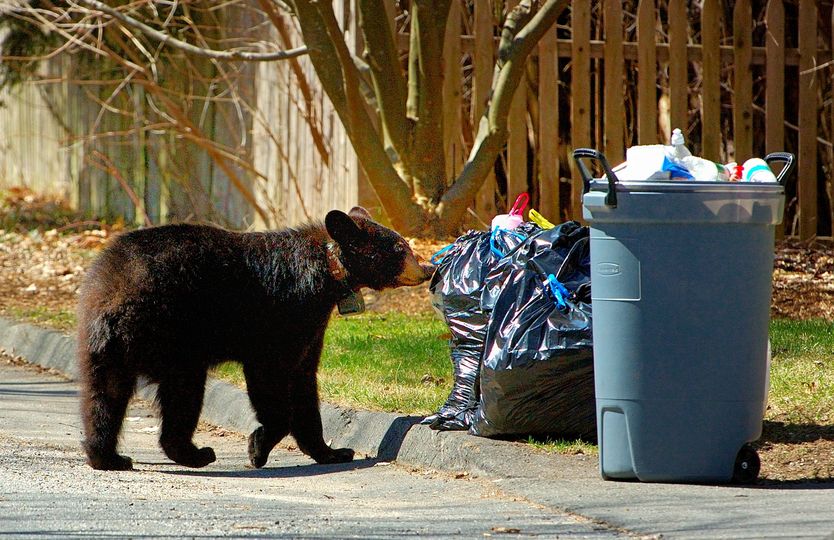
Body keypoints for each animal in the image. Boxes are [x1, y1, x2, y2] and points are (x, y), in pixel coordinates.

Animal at [76, 209, 436, 470]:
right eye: (399, 248)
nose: (427, 269)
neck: (327, 267)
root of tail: (115, 296)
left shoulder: (312, 326)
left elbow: (305, 383)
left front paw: (332, 452)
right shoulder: (285, 315)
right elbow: (272, 377)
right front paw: (258, 447)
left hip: (103, 349)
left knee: (104, 397)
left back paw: (108, 458)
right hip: (175, 334)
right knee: (183, 391)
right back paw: (195, 453)